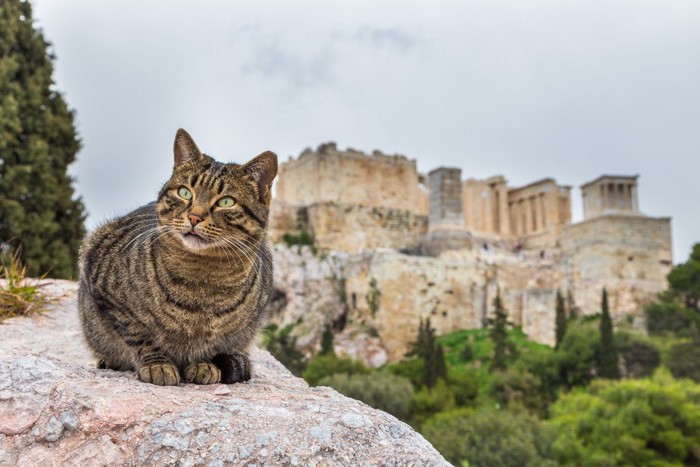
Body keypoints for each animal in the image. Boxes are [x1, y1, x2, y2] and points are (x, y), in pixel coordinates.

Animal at [78, 129, 276, 388]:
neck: (202, 279)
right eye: (184, 192)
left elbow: (211, 344)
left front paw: (203, 364)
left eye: (226, 201)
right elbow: (139, 334)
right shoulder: (107, 290)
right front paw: (158, 365)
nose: (194, 217)